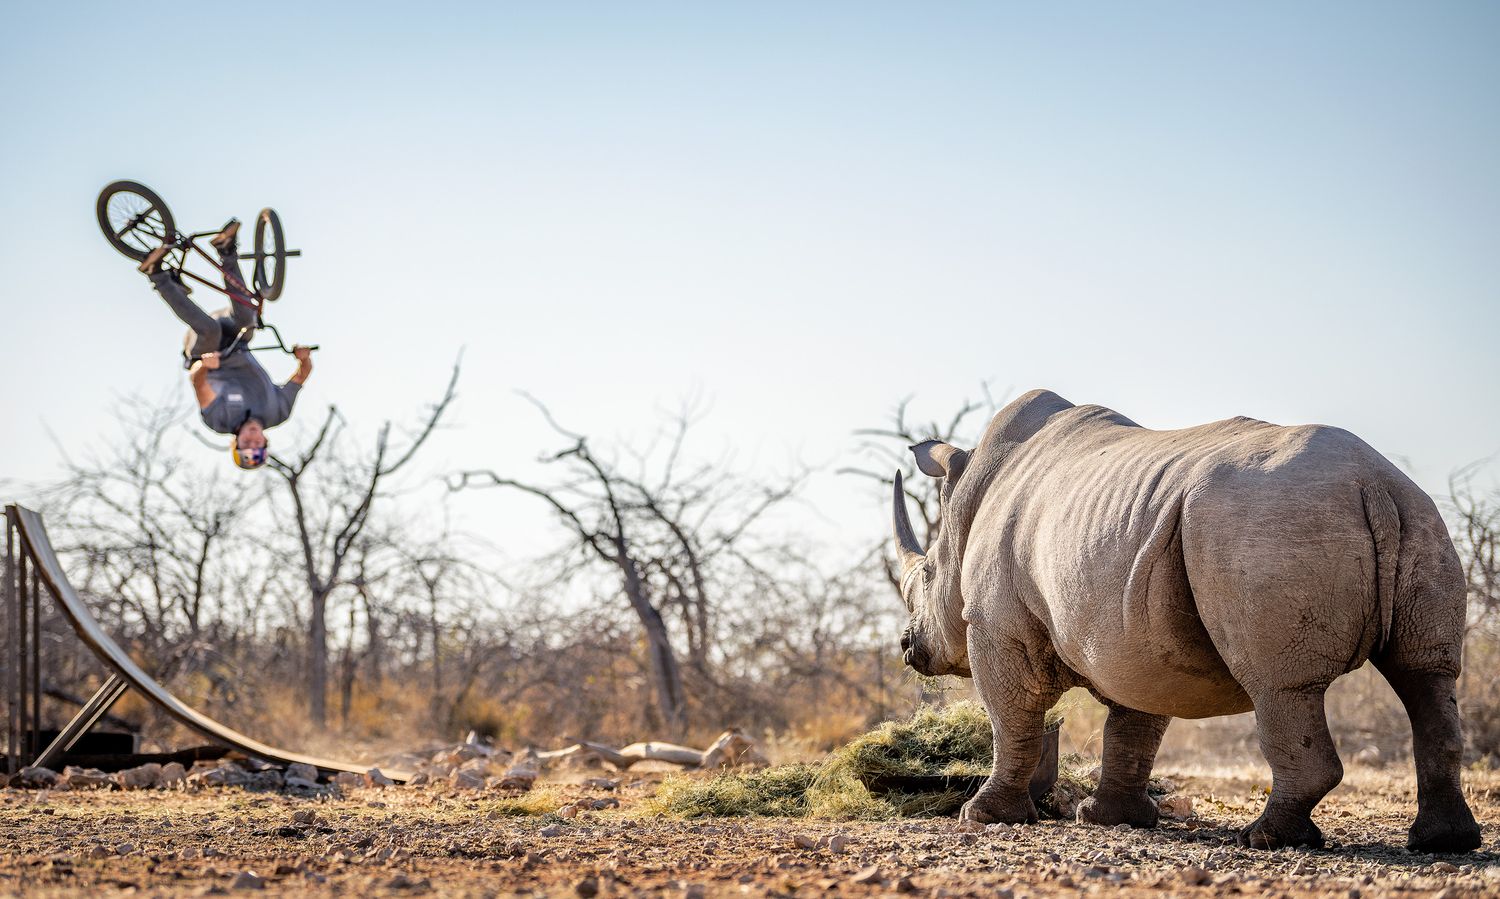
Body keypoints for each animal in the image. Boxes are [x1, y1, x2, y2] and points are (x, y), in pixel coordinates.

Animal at [891, 389, 1481, 851]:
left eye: (921, 583)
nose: (907, 646)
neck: (966, 507)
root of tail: (1372, 482)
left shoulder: (996, 626)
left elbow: (1012, 719)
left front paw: (982, 815)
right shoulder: (1129, 632)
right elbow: (1135, 723)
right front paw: (1111, 820)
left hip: (1265, 526)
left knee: (1280, 685)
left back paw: (1265, 838)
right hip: (1421, 518)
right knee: (1427, 677)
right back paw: (1444, 843)